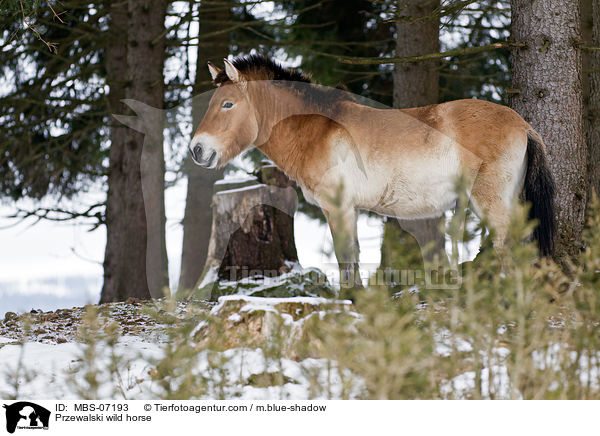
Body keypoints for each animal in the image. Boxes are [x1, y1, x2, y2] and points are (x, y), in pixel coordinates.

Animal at [189, 55, 556, 290]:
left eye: (227, 104)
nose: (197, 149)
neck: (316, 128)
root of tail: (523, 125)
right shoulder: (349, 210)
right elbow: (352, 255)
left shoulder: (337, 207)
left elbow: (345, 257)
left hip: (490, 201)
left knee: (511, 248)